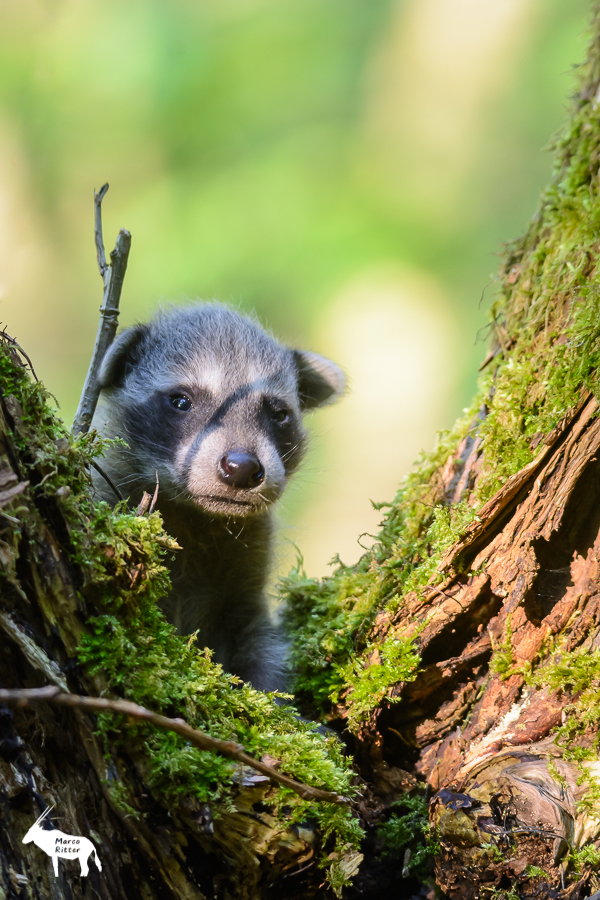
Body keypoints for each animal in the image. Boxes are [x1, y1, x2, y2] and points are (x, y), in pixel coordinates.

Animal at [94, 302, 346, 688]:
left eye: (279, 414)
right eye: (181, 401)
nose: (242, 468)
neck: (198, 514)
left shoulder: (246, 570)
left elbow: (258, 643)